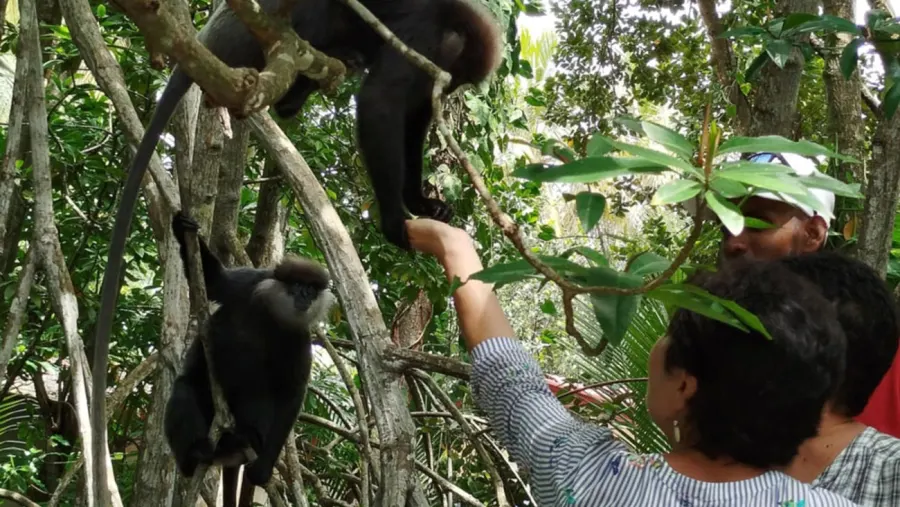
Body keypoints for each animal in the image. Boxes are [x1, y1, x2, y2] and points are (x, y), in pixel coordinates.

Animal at [90, 0, 502, 456]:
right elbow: (381, 102)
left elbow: (414, 117)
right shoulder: (422, 41)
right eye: (456, 78)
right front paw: (394, 216)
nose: (447, 92)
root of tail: (204, 40)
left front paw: (421, 201)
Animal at [164, 212, 334, 507]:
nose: (305, 296)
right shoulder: (248, 282)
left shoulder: (299, 338)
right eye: (298, 285)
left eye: (312, 289)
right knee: (185, 389)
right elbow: (215, 281)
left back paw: (246, 435)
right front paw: (182, 226)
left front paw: (264, 468)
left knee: (258, 392)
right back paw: (194, 455)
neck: (271, 314)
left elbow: (291, 394)